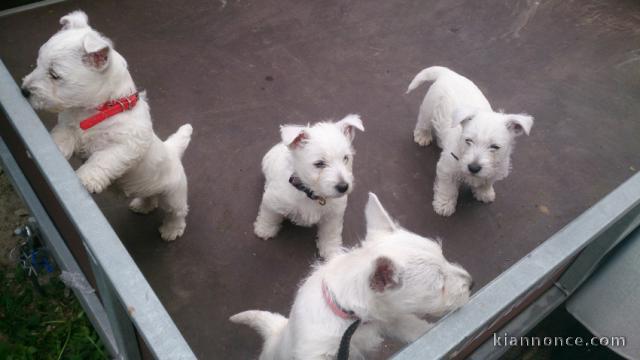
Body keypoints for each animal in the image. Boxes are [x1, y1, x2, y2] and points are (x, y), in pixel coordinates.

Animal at [21, 11, 194, 240]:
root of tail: (172, 151)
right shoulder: (69, 127)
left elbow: (103, 159)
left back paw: (171, 230)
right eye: (38, 64)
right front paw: (54, 148)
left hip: (173, 194)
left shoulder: (125, 146)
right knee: (150, 197)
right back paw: (142, 205)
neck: (99, 110)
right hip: (150, 189)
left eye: (55, 75)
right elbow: (63, 136)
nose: (24, 90)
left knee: (177, 212)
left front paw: (87, 178)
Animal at [232, 194, 472, 360]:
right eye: (440, 285)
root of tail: (277, 331)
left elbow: (416, 329)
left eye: (443, 255)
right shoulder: (317, 352)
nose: (472, 283)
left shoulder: (392, 319)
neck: (350, 317)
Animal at [255, 114, 364, 258]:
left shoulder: (334, 214)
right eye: (319, 163)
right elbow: (269, 216)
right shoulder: (272, 201)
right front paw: (264, 230)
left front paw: (331, 251)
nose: (343, 187)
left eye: (345, 158)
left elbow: (331, 233)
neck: (311, 193)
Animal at [408, 65, 532, 215]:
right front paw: (444, 205)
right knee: (423, 122)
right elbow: (447, 188)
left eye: (495, 147)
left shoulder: (496, 168)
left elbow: (487, 181)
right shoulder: (447, 169)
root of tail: (449, 73)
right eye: (468, 140)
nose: (473, 167)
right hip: (428, 108)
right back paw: (423, 136)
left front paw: (484, 193)